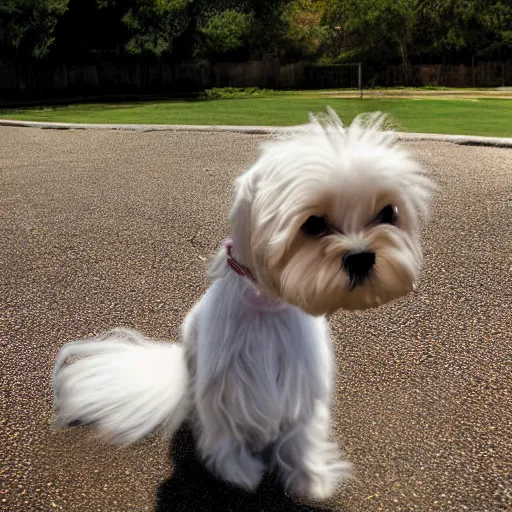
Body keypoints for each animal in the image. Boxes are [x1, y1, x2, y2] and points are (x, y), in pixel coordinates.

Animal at [52, 111, 432, 500]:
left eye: (387, 213)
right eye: (313, 223)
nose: (361, 256)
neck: (266, 306)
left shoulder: (301, 382)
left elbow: (301, 435)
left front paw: (309, 477)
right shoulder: (226, 385)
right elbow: (226, 434)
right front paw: (239, 472)